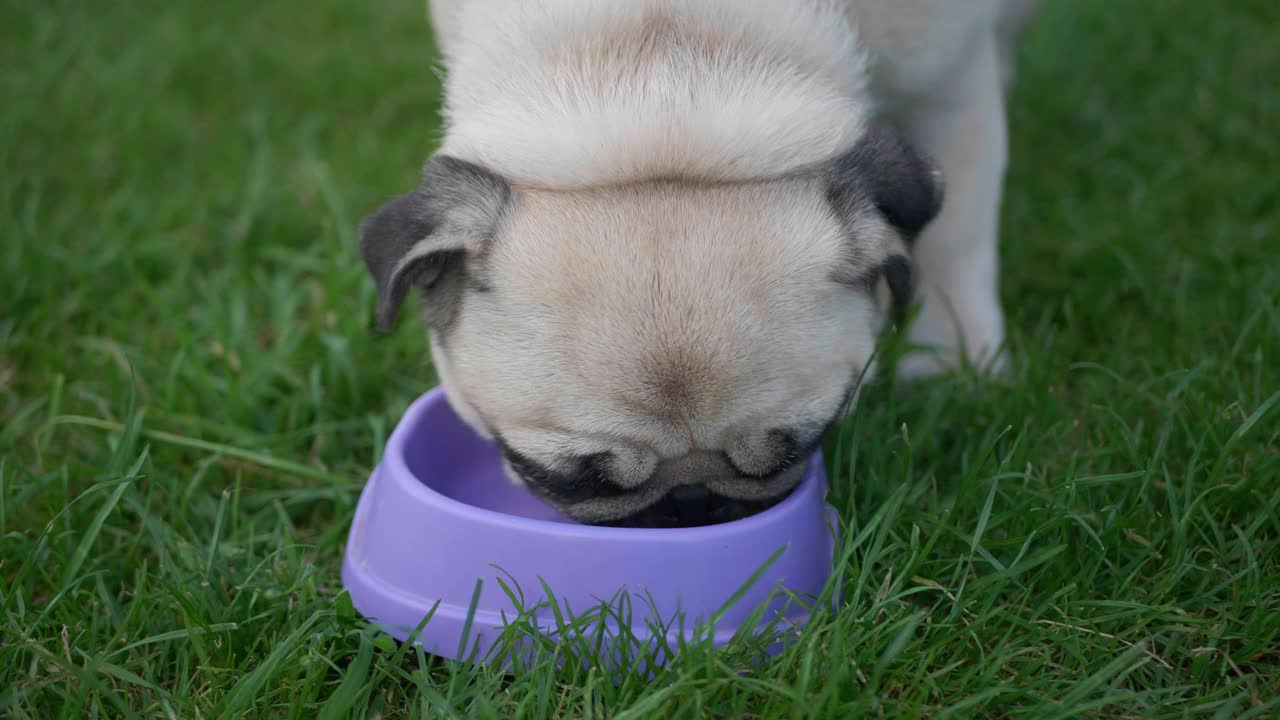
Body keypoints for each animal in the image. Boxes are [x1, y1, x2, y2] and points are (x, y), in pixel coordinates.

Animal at [355, 2, 1034, 525]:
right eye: (575, 480)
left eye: (800, 448)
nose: (690, 498)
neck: (657, 69)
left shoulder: (946, 83)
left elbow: (957, 235)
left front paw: (955, 359)